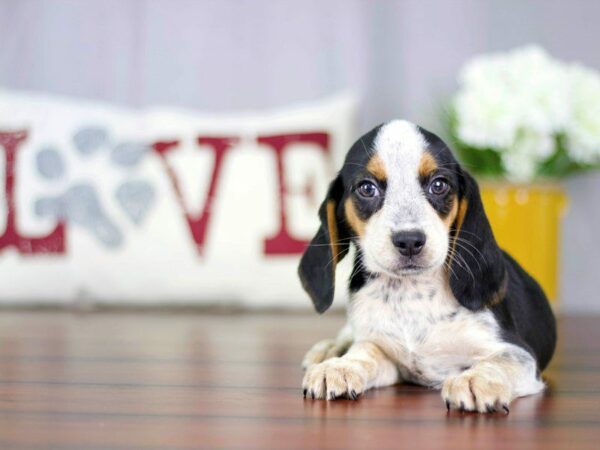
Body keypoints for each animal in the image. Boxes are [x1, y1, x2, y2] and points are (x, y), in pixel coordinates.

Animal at [298, 118, 556, 412]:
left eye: (439, 184)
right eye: (366, 188)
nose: (409, 240)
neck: (411, 295)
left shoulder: (519, 353)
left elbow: (499, 362)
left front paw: (476, 379)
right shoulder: (387, 355)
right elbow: (364, 351)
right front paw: (341, 366)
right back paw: (329, 350)